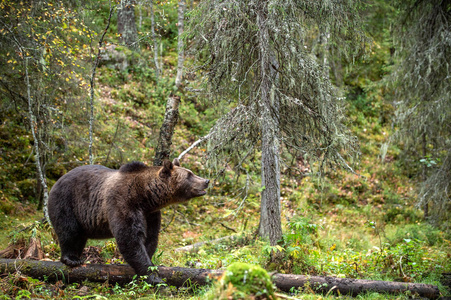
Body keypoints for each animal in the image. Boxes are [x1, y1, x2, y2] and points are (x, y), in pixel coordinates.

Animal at [47, 159, 210, 284]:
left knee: (79, 236)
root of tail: (57, 181)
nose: (206, 181)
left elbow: (150, 237)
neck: (145, 196)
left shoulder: (150, 214)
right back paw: (71, 259)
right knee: (69, 230)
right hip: (67, 201)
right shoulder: (122, 202)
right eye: (189, 175)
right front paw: (154, 277)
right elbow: (129, 238)